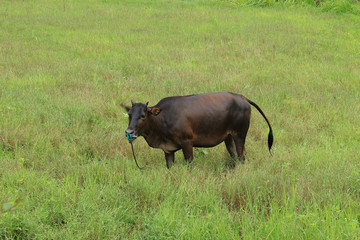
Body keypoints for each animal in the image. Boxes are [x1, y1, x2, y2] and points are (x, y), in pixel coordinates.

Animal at [121, 92, 272, 169]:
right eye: (129, 114)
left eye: (143, 115)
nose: (129, 132)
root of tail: (242, 97)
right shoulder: (168, 150)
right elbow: (169, 166)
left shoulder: (187, 142)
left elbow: (190, 164)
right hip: (228, 137)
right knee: (234, 155)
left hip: (239, 134)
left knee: (241, 155)